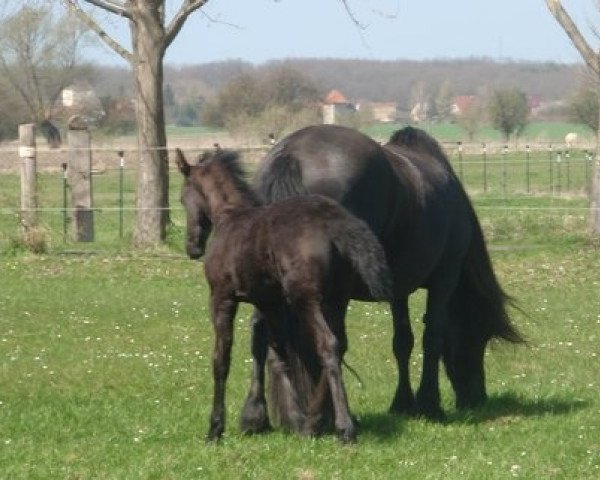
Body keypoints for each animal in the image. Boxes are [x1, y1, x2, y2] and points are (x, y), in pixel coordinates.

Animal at [237, 124, 524, 432]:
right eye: (480, 335)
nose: (476, 398)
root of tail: (291, 153)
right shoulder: (444, 278)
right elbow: (432, 336)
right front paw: (429, 404)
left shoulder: (398, 289)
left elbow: (403, 342)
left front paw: (403, 403)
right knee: (330, 341)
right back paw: (326, 418)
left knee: (261, 335)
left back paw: (263, 417)